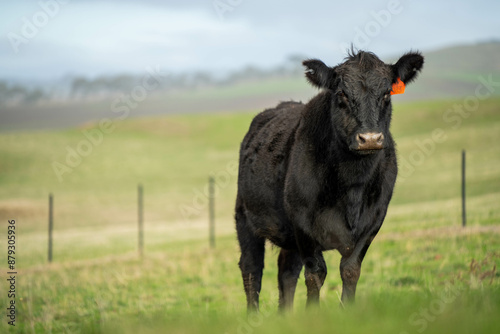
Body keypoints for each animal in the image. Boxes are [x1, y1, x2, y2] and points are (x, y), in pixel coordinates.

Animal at [236, 49, 424, 310]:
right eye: (341, 93)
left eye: (387, 93)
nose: (369, 138)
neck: (352, 185)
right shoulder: (303, 224)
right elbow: (316, 274)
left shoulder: (373, 221)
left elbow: (350, 270)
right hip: (245, 216)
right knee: (252, 269)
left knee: (286, 272)